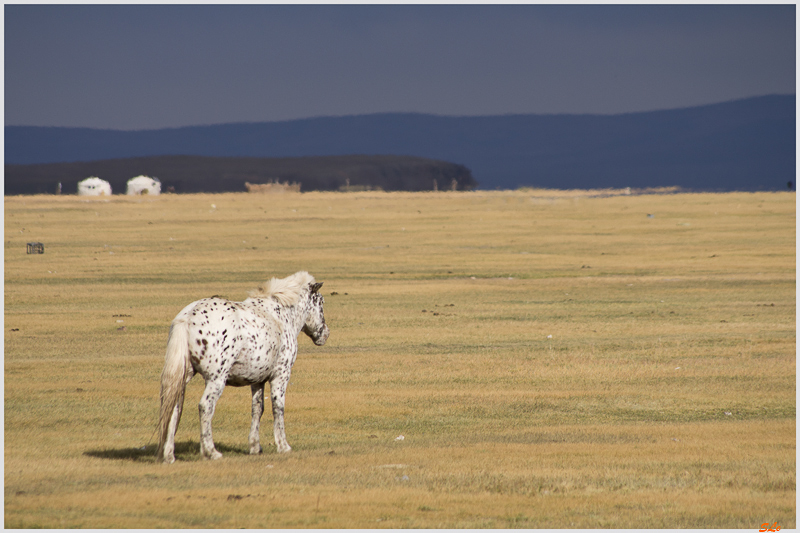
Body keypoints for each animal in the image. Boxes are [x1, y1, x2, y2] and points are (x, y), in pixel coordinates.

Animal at [156, 270, 328, 462]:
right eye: (321, 302)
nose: (324, 334)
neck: (279, 316)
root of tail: (187, 317)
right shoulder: (280, 376)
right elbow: (278, 408)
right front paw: (283, 446)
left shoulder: (258, 380)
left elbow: (257, 409)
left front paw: (255, 446)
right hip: (217, 379)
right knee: (205, 406)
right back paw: (211, 451)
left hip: (183, 378)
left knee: (173, 408)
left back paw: (169, 455)